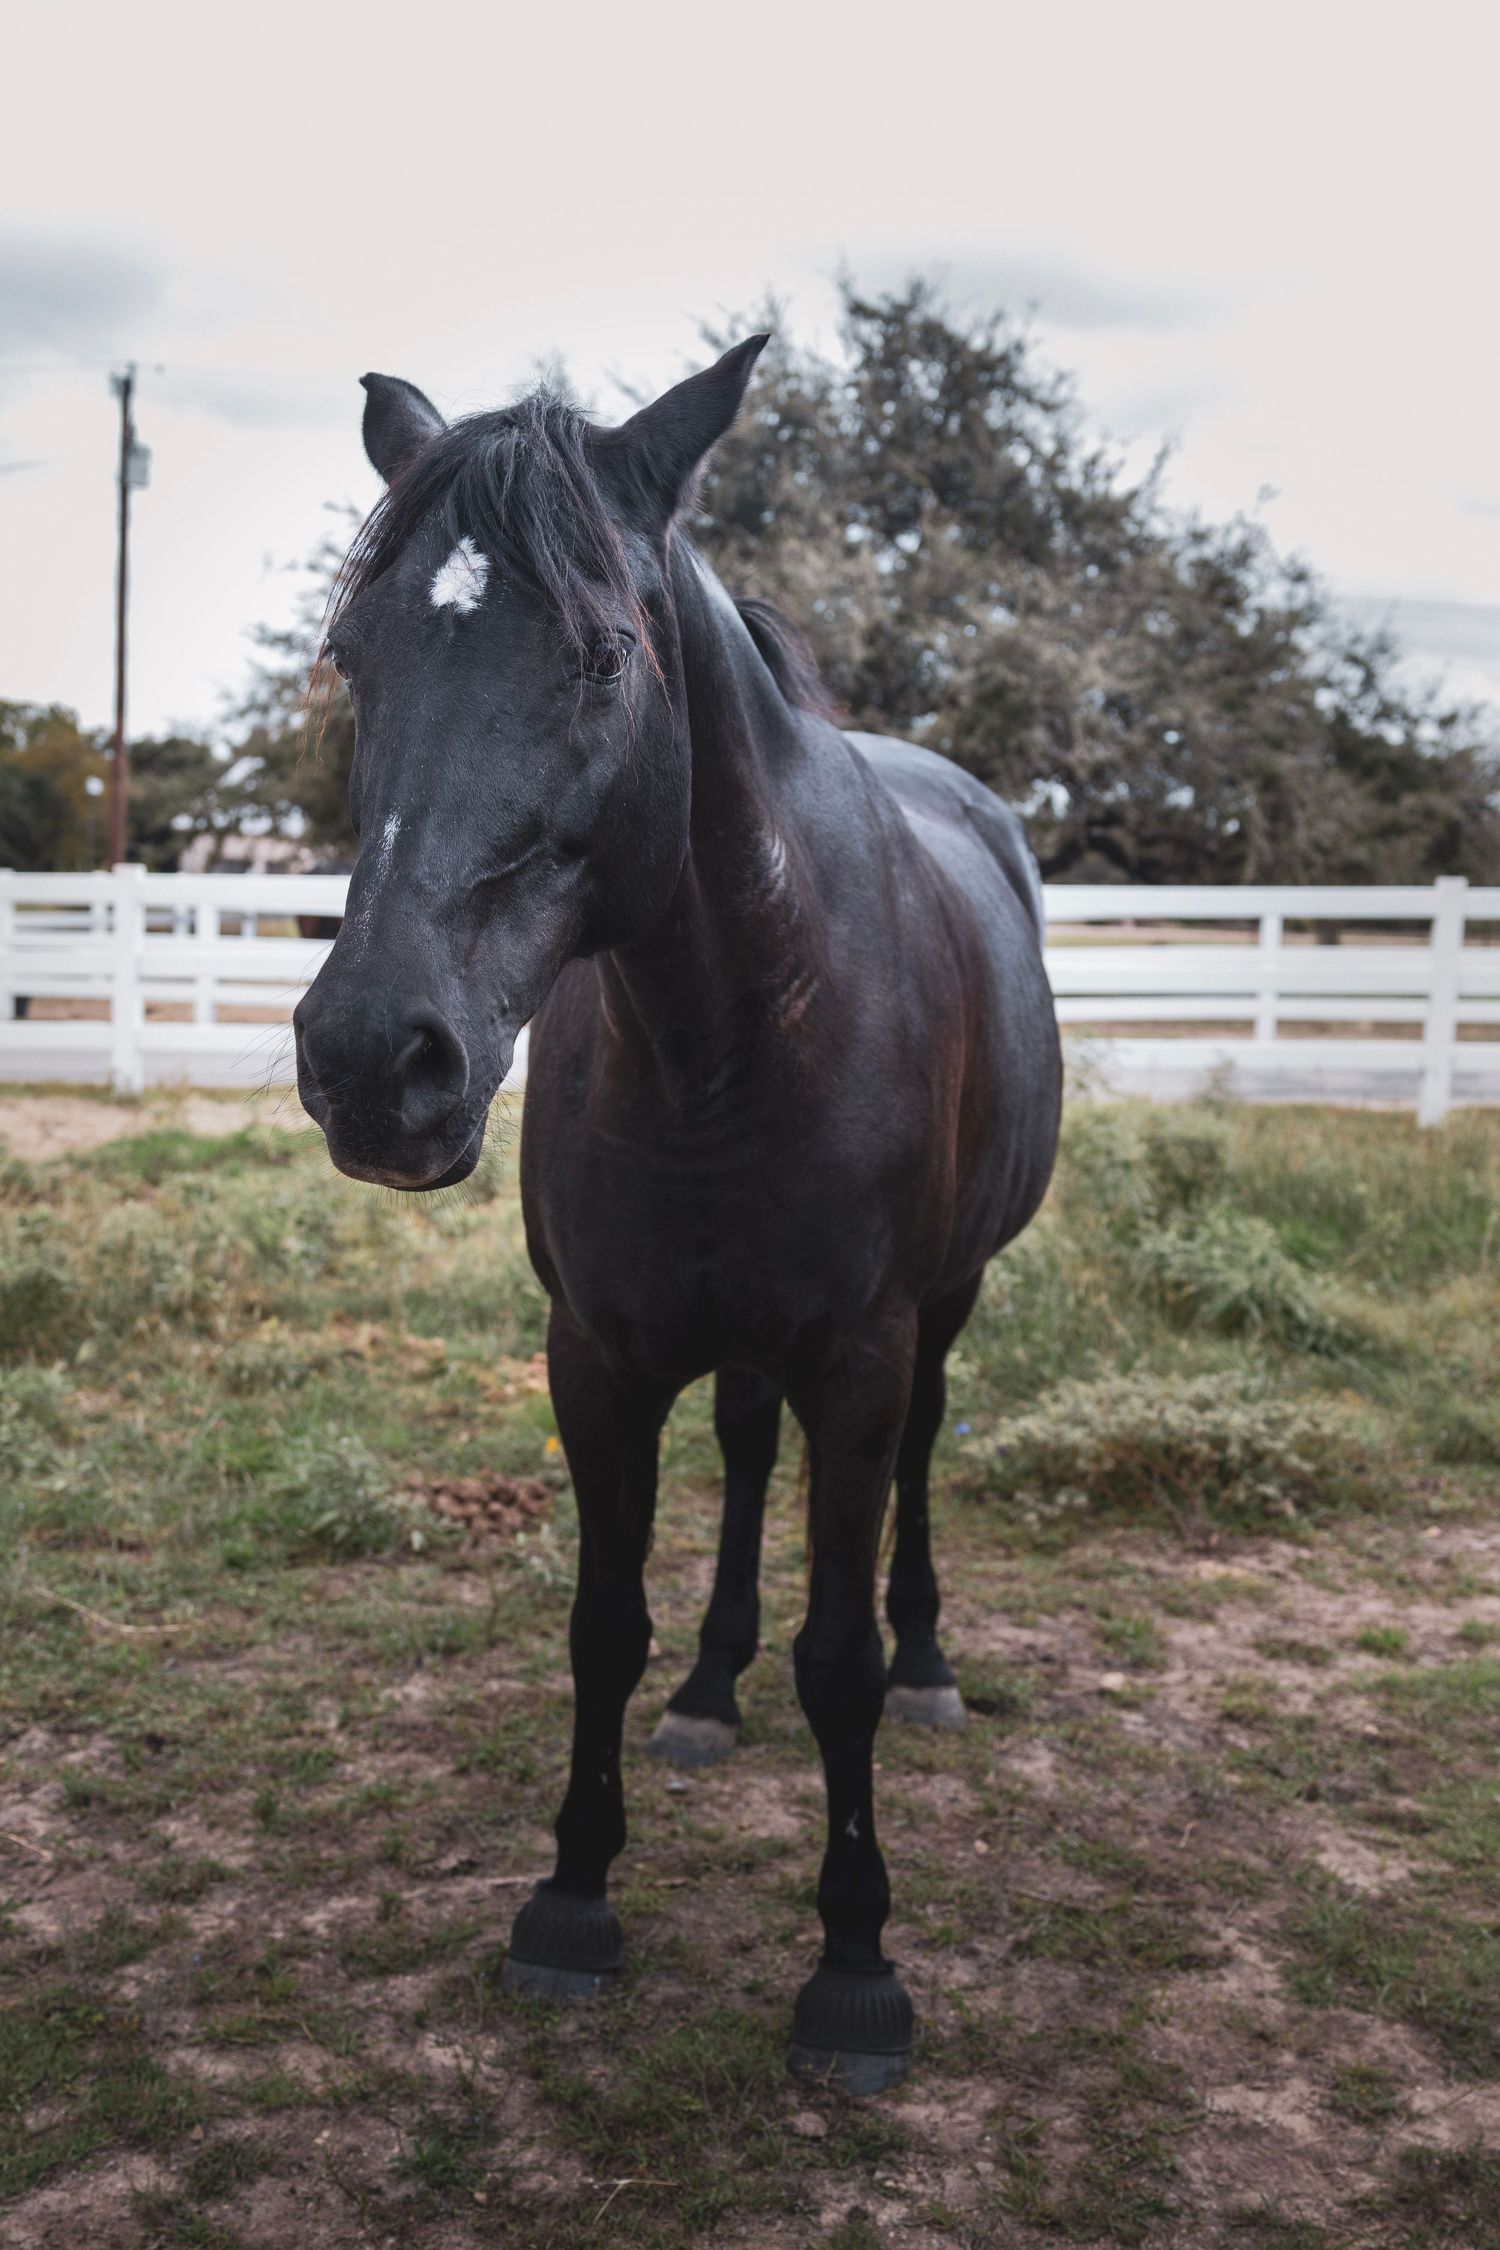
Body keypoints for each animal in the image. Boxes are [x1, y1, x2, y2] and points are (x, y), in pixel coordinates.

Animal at [293, 337, 1062, 2092]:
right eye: (357, 657)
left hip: (946, 1308)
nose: (373, 1058)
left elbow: (836, 1658)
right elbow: (602, 1622)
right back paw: (715, 1688)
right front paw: (572, 1897)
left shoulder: (861, 1352)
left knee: (918, 1471)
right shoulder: (599, 1352)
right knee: (745, 1457)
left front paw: (855, 1967)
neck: (737, 1021)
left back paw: (930, 1665)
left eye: (599, 657)